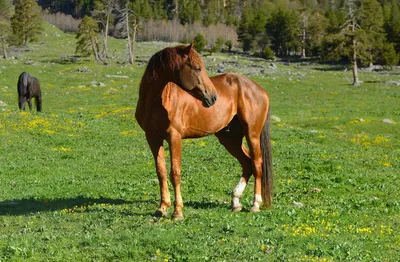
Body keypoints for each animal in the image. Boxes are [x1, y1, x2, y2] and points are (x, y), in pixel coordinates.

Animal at [136, 42, 274, 219]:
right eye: (197, 68)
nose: (213, 97)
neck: (158, 101)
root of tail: (259, 89)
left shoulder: (174, 137)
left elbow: (175, 173)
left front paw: (177, 212)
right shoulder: (153, 138)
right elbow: (161, 172)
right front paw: (162, 208)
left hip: (252, 134)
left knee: (256, 163)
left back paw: (255, 204)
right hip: (230, 139)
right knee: (247, 163)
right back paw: (236, 202)